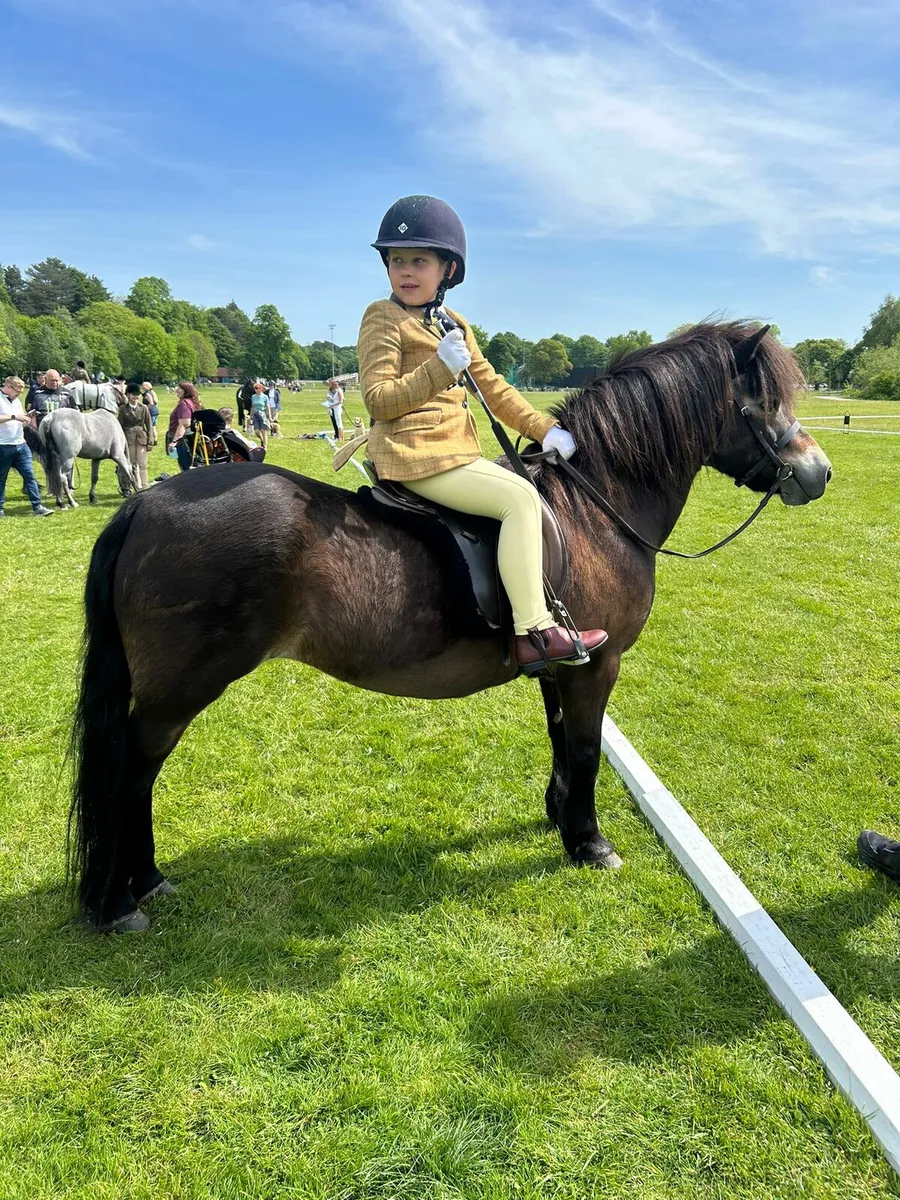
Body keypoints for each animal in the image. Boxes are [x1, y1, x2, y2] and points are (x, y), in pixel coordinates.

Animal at [67, 321, 832, 932]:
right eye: (763, 403)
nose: (817, 472)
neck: (594, 507)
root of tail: (146, 504)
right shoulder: (599, 665)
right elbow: (586, 749)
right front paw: (589, 842)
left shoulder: (560, 662)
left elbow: (560, 739)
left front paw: (558, 816)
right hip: (176, 693)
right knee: (132, 771)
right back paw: (121, 899)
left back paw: (143, 882)